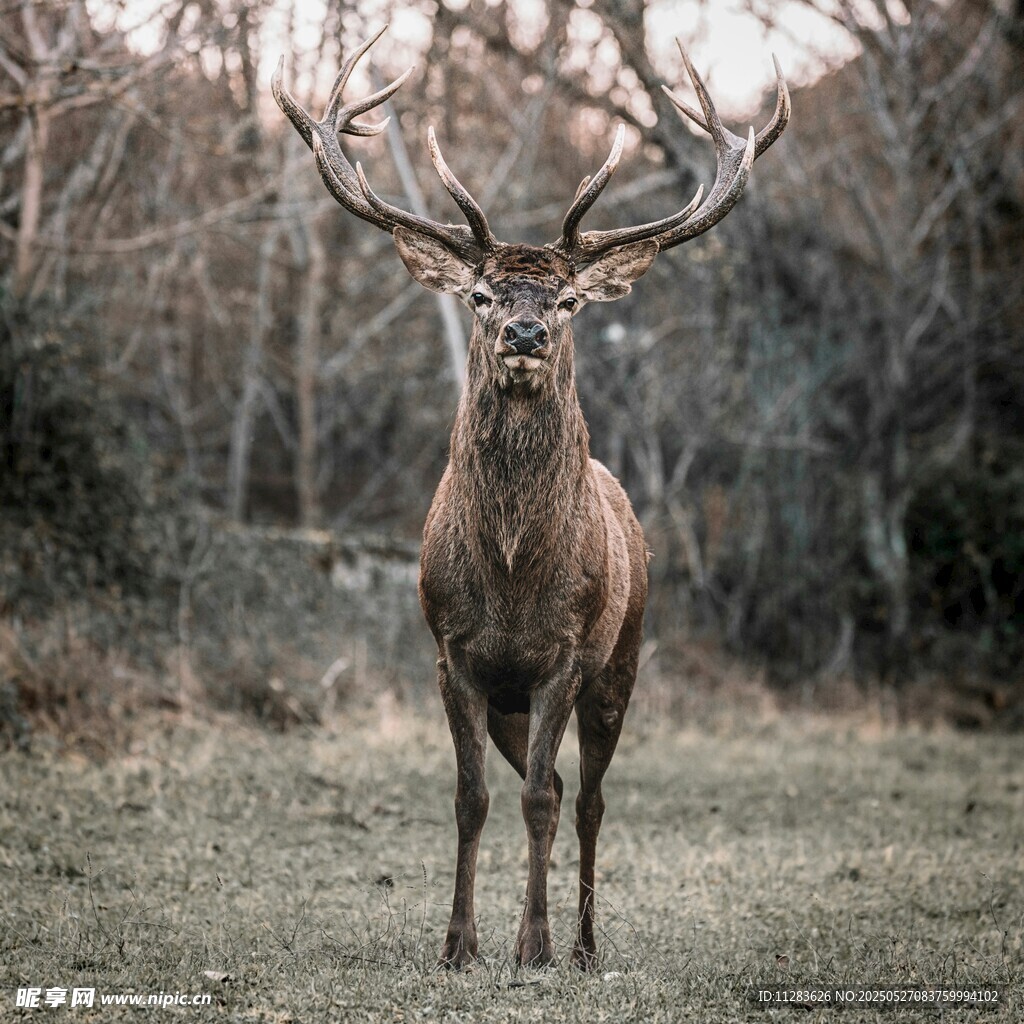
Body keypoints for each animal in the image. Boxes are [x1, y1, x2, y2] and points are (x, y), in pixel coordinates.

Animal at [273, 27, 788, 970]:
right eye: (481, 294)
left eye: (570, 298)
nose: (524, 331)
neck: (514, 577)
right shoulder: (454, 656)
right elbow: (472, 799)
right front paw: (459, 945)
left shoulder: (566, 656)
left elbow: (546, 803)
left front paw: (535, 947)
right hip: (516, 699)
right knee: (540, 779)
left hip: (623, 659)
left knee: (584, 798)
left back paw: (582, 944)